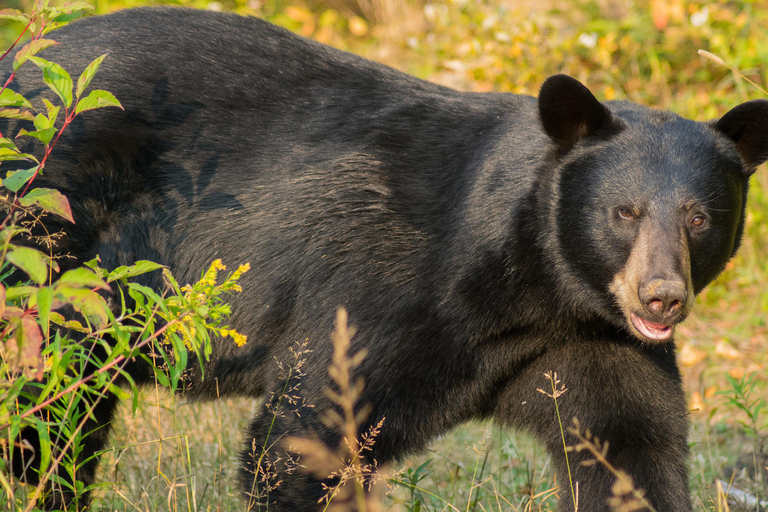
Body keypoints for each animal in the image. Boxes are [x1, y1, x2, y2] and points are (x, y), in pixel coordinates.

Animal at [3, 6, 768, 511]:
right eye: (625, 212)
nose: (661, 296)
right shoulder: (383, 293)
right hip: (49, 234)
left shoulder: (590, 342)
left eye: (700, 217)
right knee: (43, 408)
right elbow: (303, 438)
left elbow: (628, 447)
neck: (534, 288)